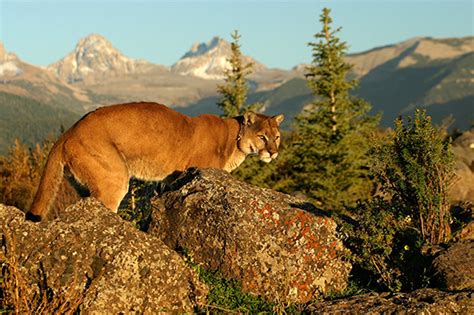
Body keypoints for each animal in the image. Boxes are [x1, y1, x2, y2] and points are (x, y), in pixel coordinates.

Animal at [25, 102, 284, 221]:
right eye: (263, 137)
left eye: (277, 137)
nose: (273, 153)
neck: (234, 139)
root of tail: (69, 131)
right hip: (114, 177)